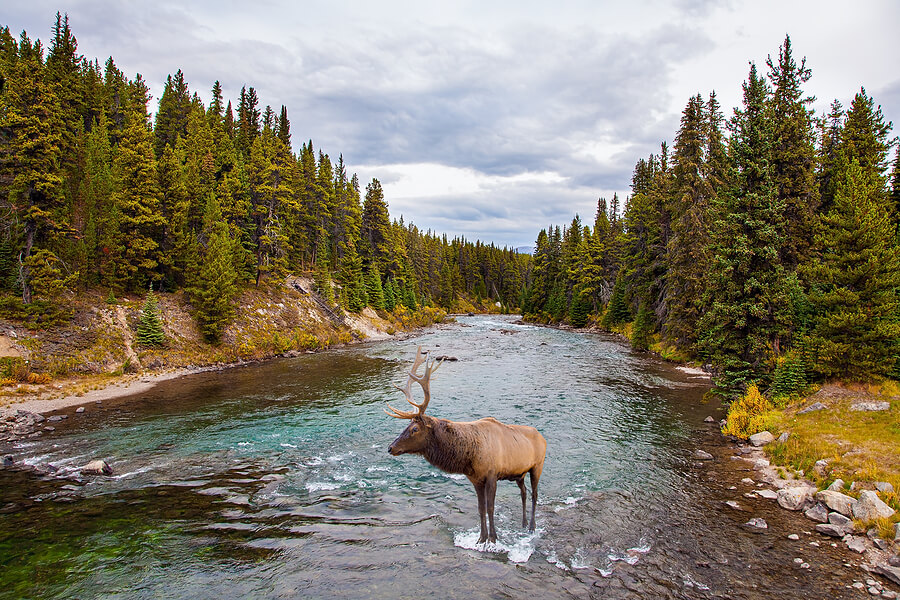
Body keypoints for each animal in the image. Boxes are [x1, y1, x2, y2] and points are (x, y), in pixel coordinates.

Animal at [384, 344, 544, 548]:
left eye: (414, 429)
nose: (391, 447)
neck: (469, 456)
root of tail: (542, 436)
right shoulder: (475, 479)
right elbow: (480, 508)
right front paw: (481, 539)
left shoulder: (492, 475)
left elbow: (490, 508)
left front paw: (493, 539)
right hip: (518, 474)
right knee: (523, 492)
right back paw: (523, 524)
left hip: (537, 467)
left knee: (534, 494)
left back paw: (531, 527)